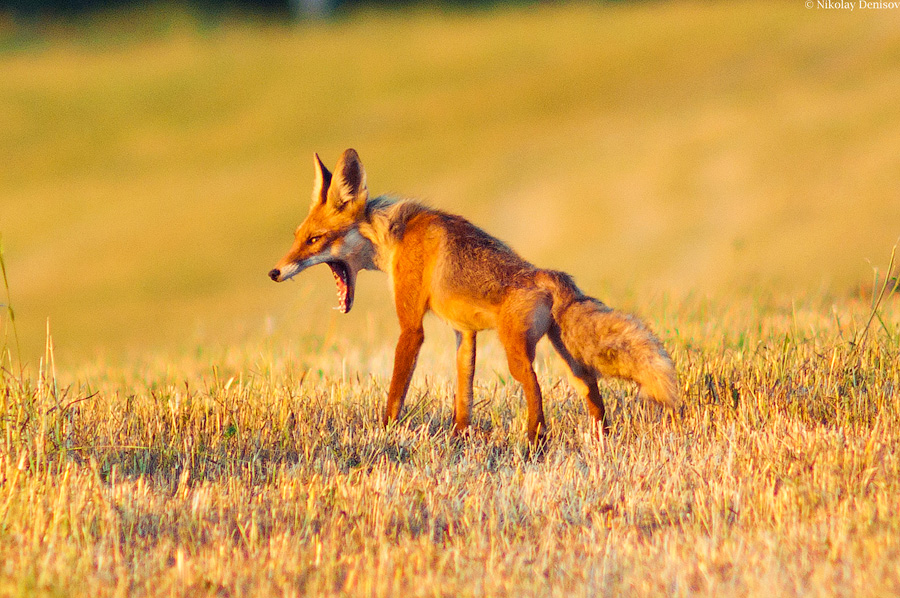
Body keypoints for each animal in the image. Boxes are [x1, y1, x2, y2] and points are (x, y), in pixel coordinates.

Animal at [270, 148, 680, 442]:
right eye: (296, 237)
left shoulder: (411, 327)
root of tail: (551, 275)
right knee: (592, 393)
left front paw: (384, 433)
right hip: (571, 360)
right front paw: (460, 437)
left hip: (517, 353)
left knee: (536, 390)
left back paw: (533, 442)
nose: (274, 272)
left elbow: (396, 392)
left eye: (315, 239)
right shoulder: (464, 334)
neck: (395, 234)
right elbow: (463, 395)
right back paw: (599, 440)